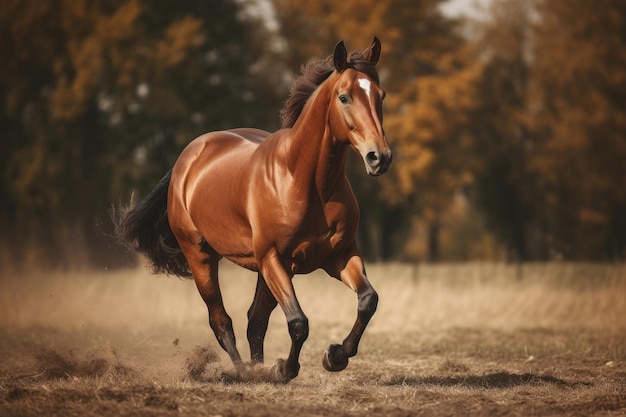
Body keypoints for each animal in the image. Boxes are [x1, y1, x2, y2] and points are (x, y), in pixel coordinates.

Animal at [114, 37, 390, 382]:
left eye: (380, 95)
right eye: (344, 97)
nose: (379, 158)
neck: (305, 180)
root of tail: (187, 158)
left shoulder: (338, 255)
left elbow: (368, 300)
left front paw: (335, 356)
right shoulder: (273, 258)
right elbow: (298, 322)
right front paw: (284, 369)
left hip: (266, 270)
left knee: (254, 320)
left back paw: (257, 367)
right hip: (201, 257)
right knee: (221, 321)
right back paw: (245, 371)